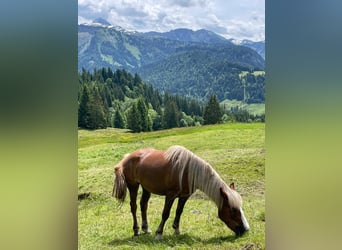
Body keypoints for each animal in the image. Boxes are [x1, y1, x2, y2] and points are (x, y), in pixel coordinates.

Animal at [112, 146, 248, 239]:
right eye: (232, 210)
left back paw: (146, 229)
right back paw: (136, 230)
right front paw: (159, 234)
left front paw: (177, 230)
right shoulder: (170, 195)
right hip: (133, 186)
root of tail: (127, 157)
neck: (188, 171)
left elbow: (179, 212)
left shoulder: (184, 196)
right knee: (134, 207)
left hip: (146, 188)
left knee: (143, 205)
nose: (245, 229)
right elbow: (165, 214)